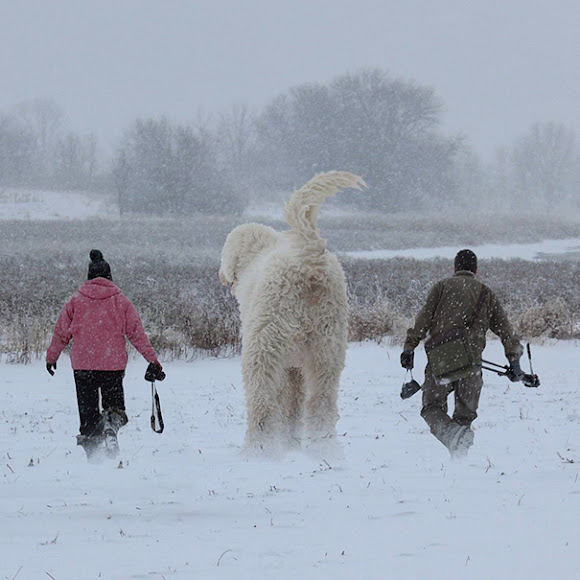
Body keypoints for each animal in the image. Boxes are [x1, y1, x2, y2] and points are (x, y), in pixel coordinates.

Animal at [220, 170, 364, 456]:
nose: (222, 275)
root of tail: (310, 260)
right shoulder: (294, 366)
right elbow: (293, 401)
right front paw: (290, 443)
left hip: (266, 340)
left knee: (262, 398)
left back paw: (256, 451)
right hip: (327, 345)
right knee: (321, 400)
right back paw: (324, 448)